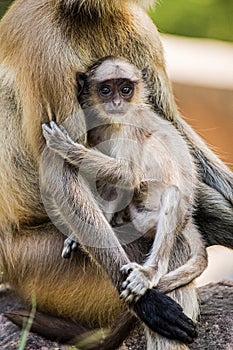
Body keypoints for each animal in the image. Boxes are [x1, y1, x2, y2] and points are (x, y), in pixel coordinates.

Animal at [42, 54, 207, 306]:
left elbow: (129, 174)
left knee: (171, 193)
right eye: (106, 90)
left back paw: (149, 273)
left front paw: (66, 147)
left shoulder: (129, 128)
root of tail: (187, 219)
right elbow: (119, 180)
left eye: (126, 89)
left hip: (154, 218)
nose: (117, 103)